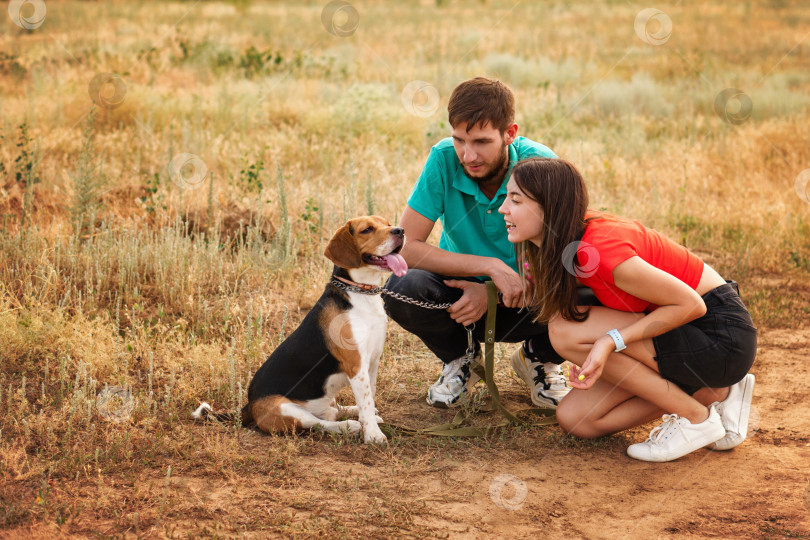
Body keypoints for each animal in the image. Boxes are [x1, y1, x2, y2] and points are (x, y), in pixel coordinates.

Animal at [193, 215, 408, 442]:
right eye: (367, 229)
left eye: (387, 223)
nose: (400, 231)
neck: (360, 293)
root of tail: (249, 406)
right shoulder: (356, 365)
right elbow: (366, 401)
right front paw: (373, 435)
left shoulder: (373, 361)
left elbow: (369, 398)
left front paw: (371, 423)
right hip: (286, 409)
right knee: (319, 424)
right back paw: (350, 425)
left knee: (332, 411)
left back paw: (350, 411)